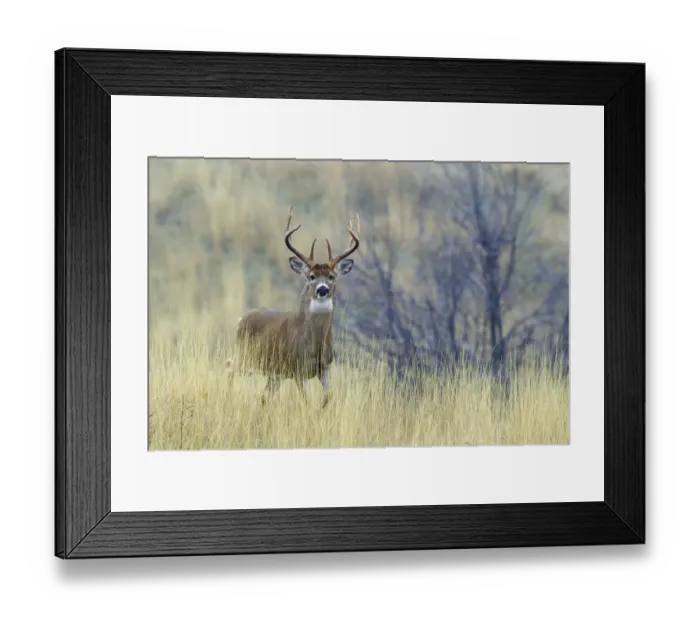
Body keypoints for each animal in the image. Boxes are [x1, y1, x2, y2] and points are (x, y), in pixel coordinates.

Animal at [232, 206, 360, 408]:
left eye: (331, 276)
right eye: (311, 276)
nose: (322, 289)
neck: (315, 343)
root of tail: (241, 319)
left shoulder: (325, 367)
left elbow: (328, 397)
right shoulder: (297, 368)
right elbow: (306, 400)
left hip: (274, 372)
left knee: (264, 396)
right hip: (247, 357)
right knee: (229, 365)